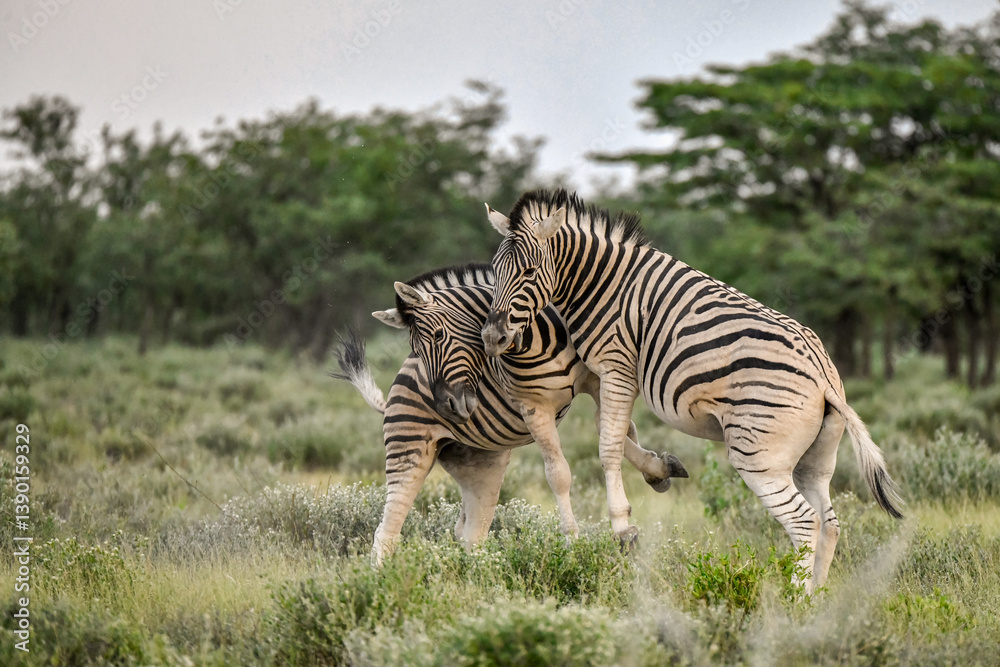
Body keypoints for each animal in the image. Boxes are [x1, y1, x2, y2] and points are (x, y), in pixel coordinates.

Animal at [336, 263, 686, 564]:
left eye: (437, 336)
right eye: (417, 349)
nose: (446, 407)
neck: (536, 338)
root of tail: (393, 391)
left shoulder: (595, 378)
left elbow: (612, 429)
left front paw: (658, 469)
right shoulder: (534, 408)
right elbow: (559, 472)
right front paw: (573, 543)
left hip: (481, 466)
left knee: (471, 534)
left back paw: (480, 577)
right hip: (407, 451)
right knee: (386, 533)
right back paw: (380, 585)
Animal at [480, 189, 903, 592]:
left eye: (530, 271)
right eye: (495, 271)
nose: (492, 338)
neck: (600, 285)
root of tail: (824, 376)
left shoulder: (617, 367)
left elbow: (608, 445)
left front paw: (622, 527)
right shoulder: (609, 376)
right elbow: (609, 430)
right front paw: (660, 470)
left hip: (758, 456)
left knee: (804, 522)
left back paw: (795, 601)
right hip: (813, 462)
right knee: (830, 523)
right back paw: (816, 600)